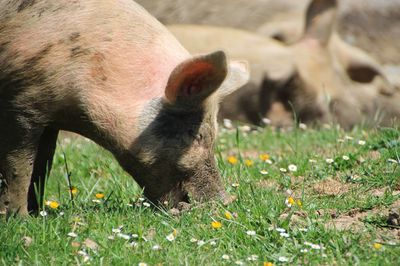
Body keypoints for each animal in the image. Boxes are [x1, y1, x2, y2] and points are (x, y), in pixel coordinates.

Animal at [0, 0, 248, 216]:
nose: (226, 201)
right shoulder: (20, 102)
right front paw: (19, 219)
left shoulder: (48, 118)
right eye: (196, 135)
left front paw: (36, 213)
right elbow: (18, 170)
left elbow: (42, 166)